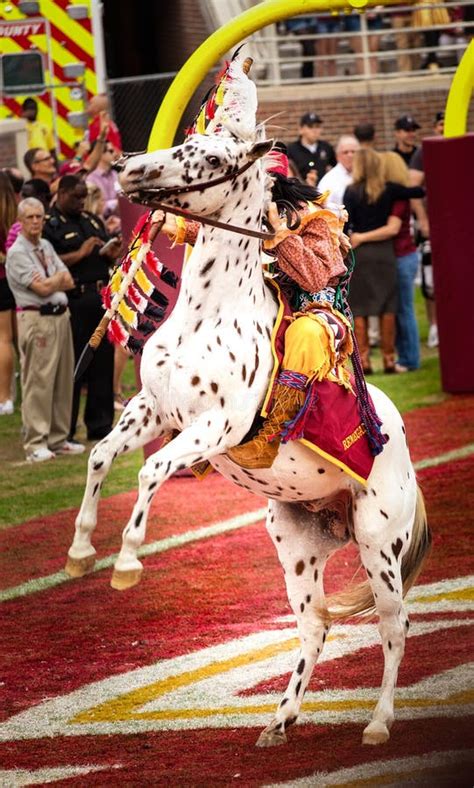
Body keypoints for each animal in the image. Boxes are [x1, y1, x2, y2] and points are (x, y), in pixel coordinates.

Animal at [65, 58, 432, 748]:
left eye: (210, 158)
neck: (208, 315)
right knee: (315, 626)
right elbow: (100, 456)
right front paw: (78, 554)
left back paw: (378, 723)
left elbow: (151, 473)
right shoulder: (152, 410)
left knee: (394, 627)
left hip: (379, 545)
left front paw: (126, 560)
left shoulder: (213, 427)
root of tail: (402, 452)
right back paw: (280, 719)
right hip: (294, 541)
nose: (128, 167)